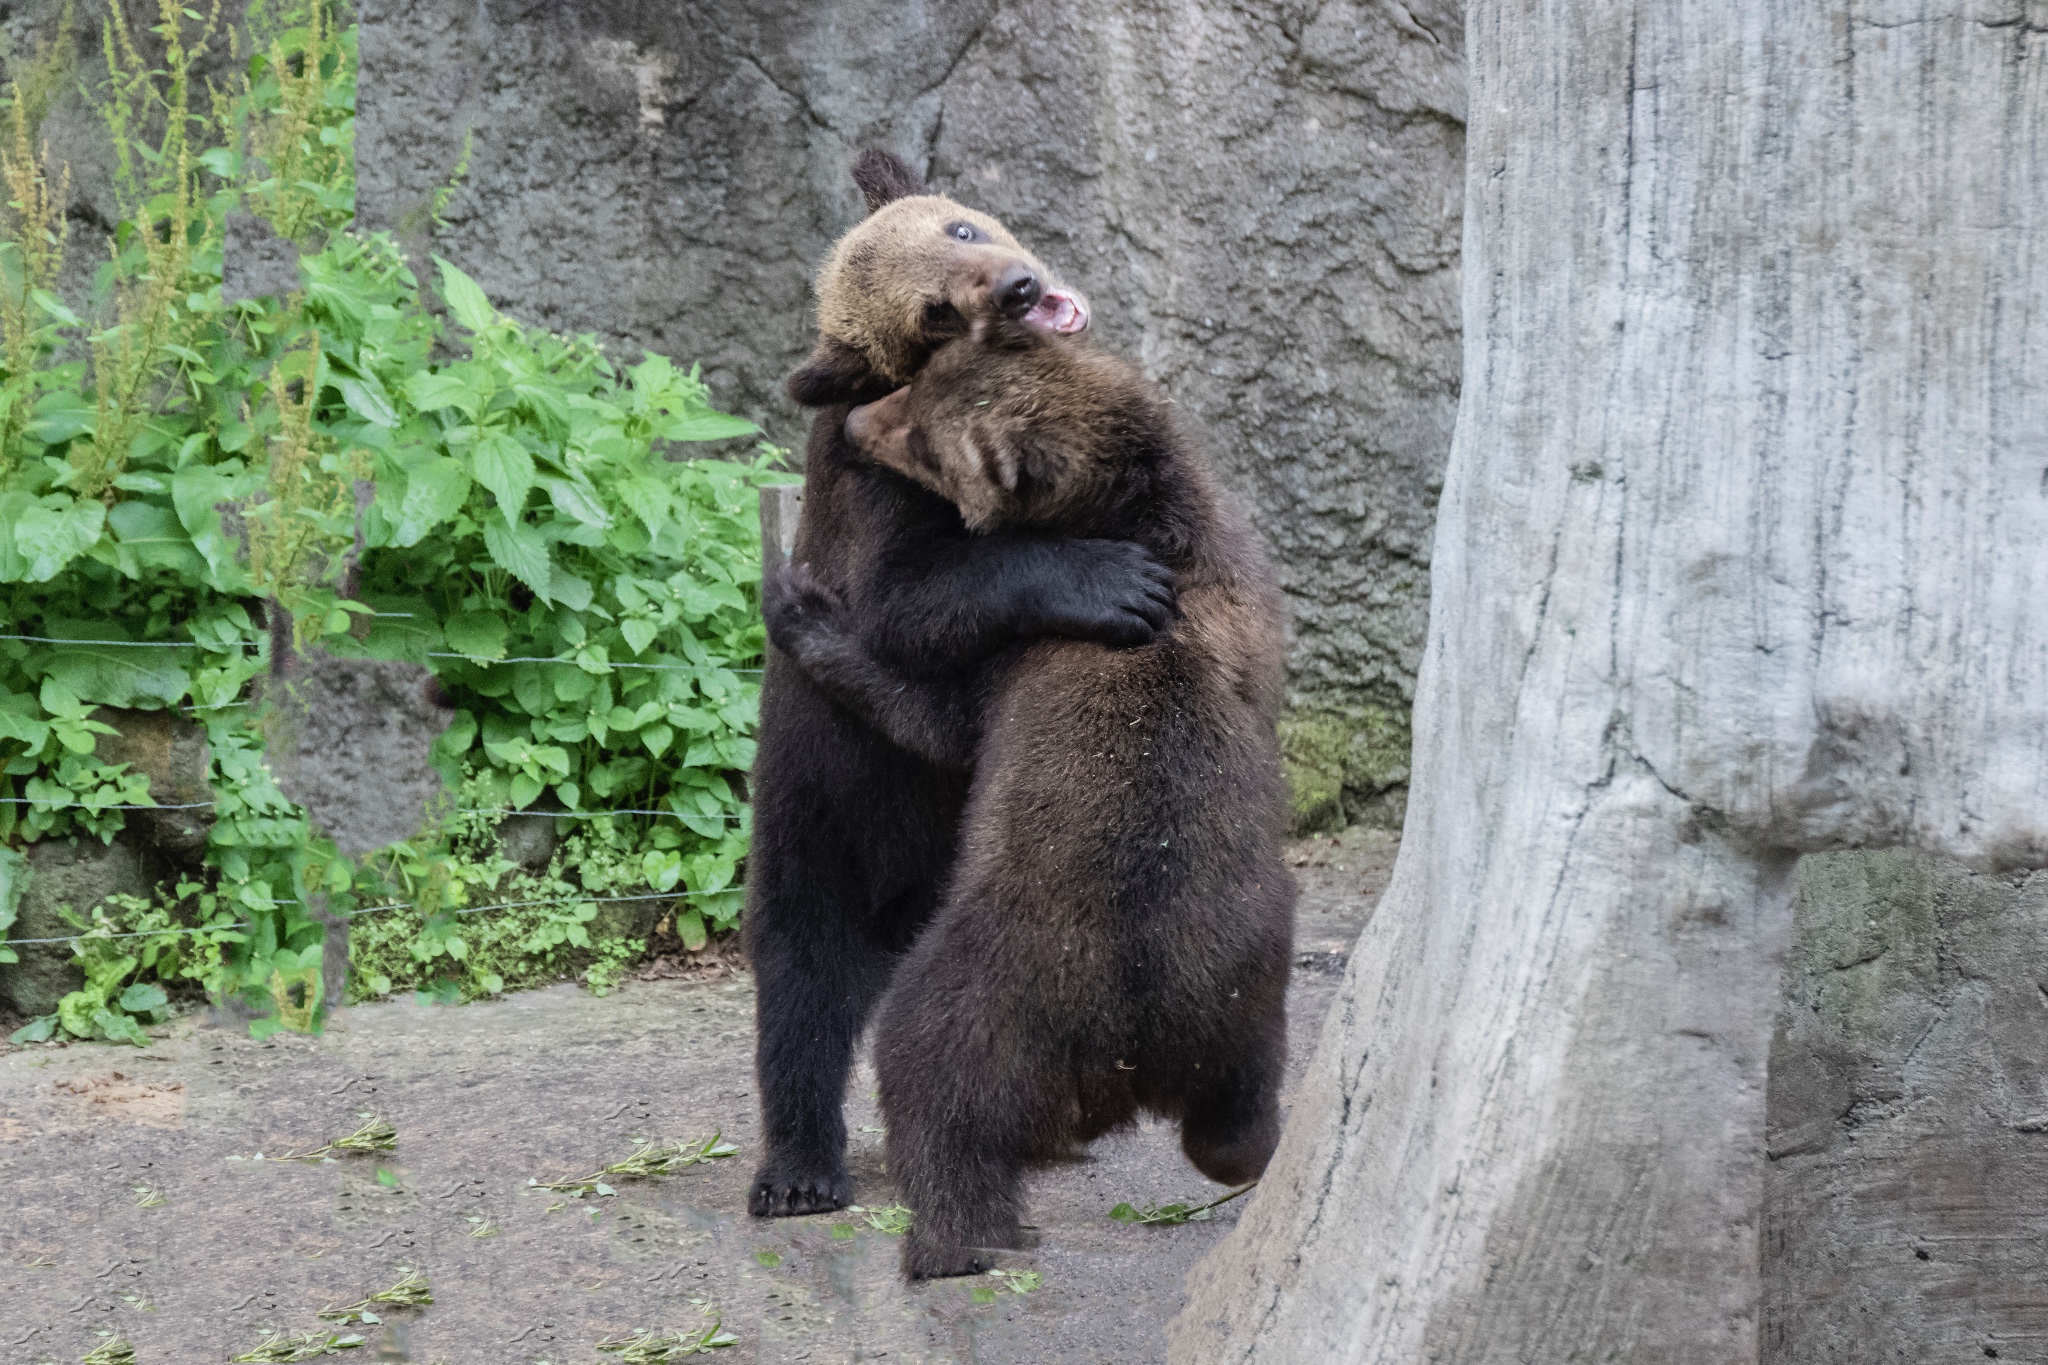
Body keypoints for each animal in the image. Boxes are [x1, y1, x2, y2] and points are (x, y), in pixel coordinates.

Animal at [749, 154, 1294, 1285]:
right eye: (929, 312)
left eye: (961, 226)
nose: (1014, 288)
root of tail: (1132, 1048)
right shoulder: (874, 519)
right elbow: (908, 610)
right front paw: (1111, 581)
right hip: (825, 809)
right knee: (805, 970)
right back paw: (806, 1172)